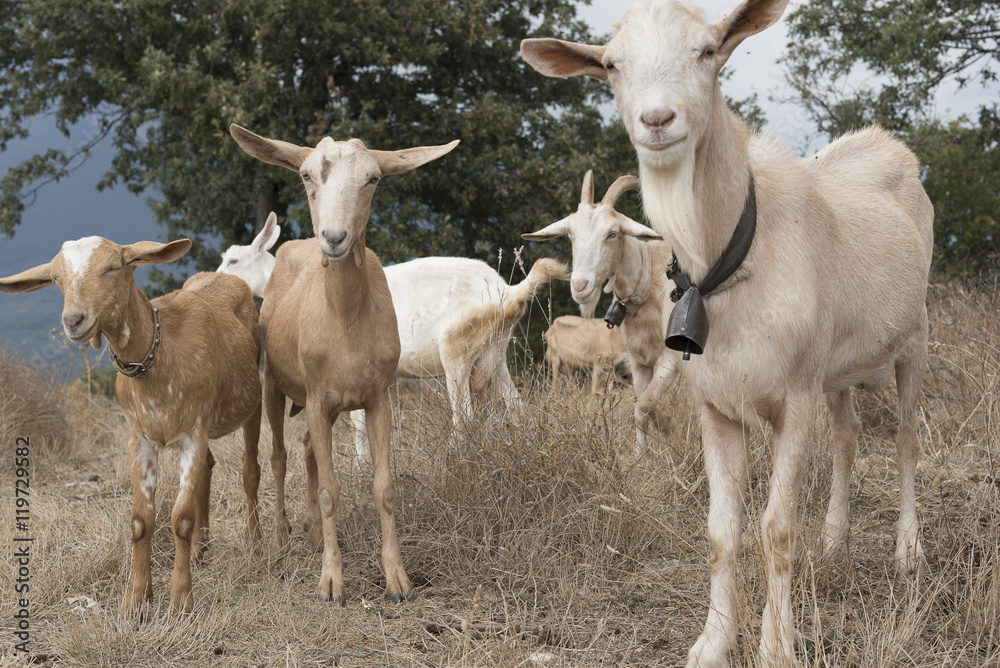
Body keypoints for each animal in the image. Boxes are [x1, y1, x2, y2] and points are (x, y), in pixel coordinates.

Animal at [0, 240, 262, 615]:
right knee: (209, 470)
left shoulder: (191, 435)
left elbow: (180, 518)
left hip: (254, 400)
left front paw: (180, 601)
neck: (161, 358)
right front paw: (136, 600)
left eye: (112, 267)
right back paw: (201, 550)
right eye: (55, 277)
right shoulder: (140, 439)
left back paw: (257, 545)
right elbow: (141, 521)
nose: (74, 320)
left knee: (250, 471)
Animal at [218, 225, 566, 455]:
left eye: (234, 260)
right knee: (517, 408)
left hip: (457, 347)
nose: (218, 278)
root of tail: (509, 290)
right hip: (495, 353)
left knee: (464, 416)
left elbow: (357, 423)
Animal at [229, 123, 458, 604]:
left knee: (307, 452)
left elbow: (383, 487)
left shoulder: (376, 396)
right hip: (273, 382)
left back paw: (315, 533)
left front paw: (398, 580)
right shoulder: (316, 397)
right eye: (305, 175)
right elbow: (330, 490)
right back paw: (281, 537)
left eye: (373, 179)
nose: (334, 238)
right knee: (278, 456)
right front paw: (331, 583)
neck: (346, 326)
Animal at [524, 171, 677, 453]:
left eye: (613, 233)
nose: (580, 286)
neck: (647, 285)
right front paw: (643, 455)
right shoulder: (638, 361)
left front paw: (668, 426)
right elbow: (641, 407)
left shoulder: (670, 357)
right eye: (570, 234)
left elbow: (645, 402)